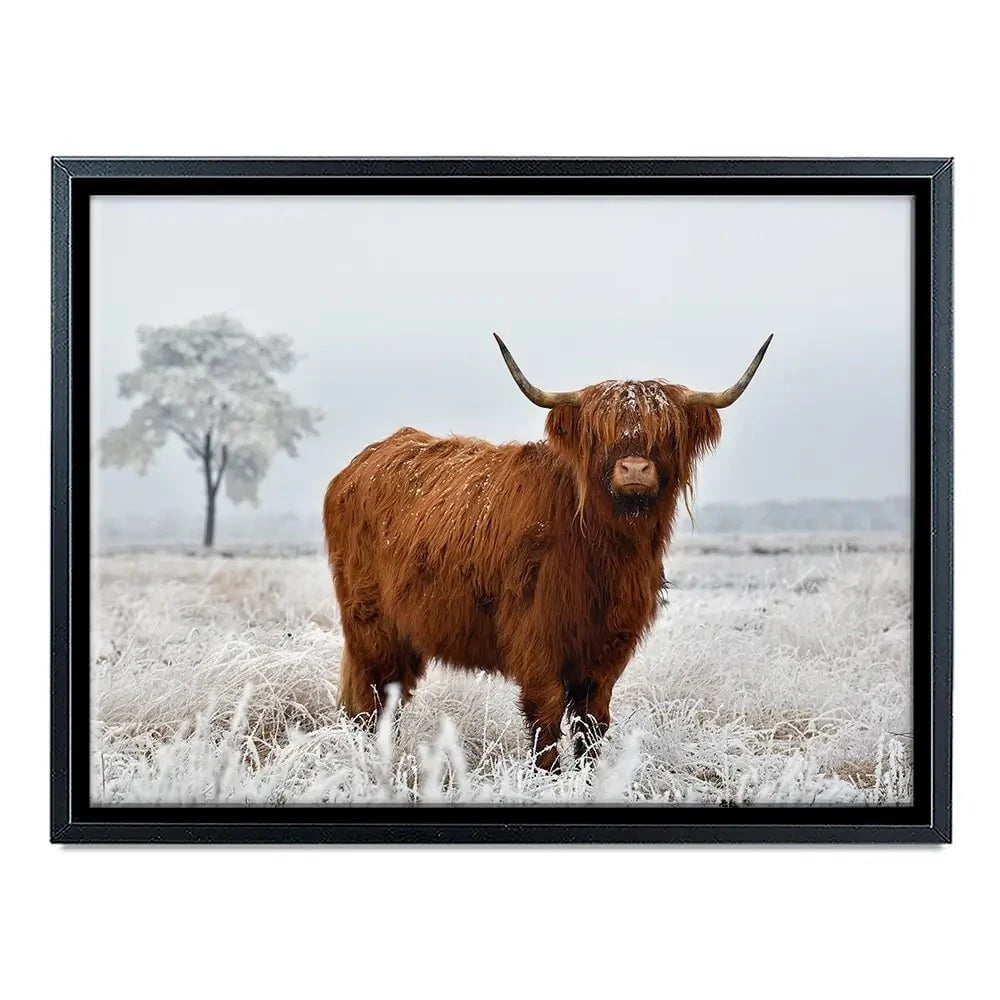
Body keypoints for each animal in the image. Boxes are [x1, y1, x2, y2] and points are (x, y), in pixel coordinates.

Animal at [323, 333, 772, 770]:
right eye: (598, 434)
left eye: (666, 434)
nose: (634, 469)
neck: (606, 552)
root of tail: (359, 464)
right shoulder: (536, 637)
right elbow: (547, 716)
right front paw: (549, 777)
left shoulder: (609, 647)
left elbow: (593, 721)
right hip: (371, 626)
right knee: (371, 698)